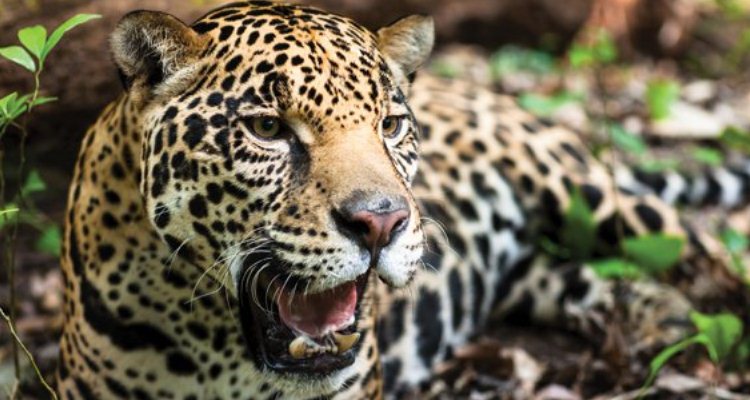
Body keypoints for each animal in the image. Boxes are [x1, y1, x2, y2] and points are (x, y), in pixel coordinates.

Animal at [55, 1, 750, 399]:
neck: (217, 350)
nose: (380, 223)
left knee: (700, 248)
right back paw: (659, 318)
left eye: (389, 125)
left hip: (591, 195)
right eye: (268, 128)